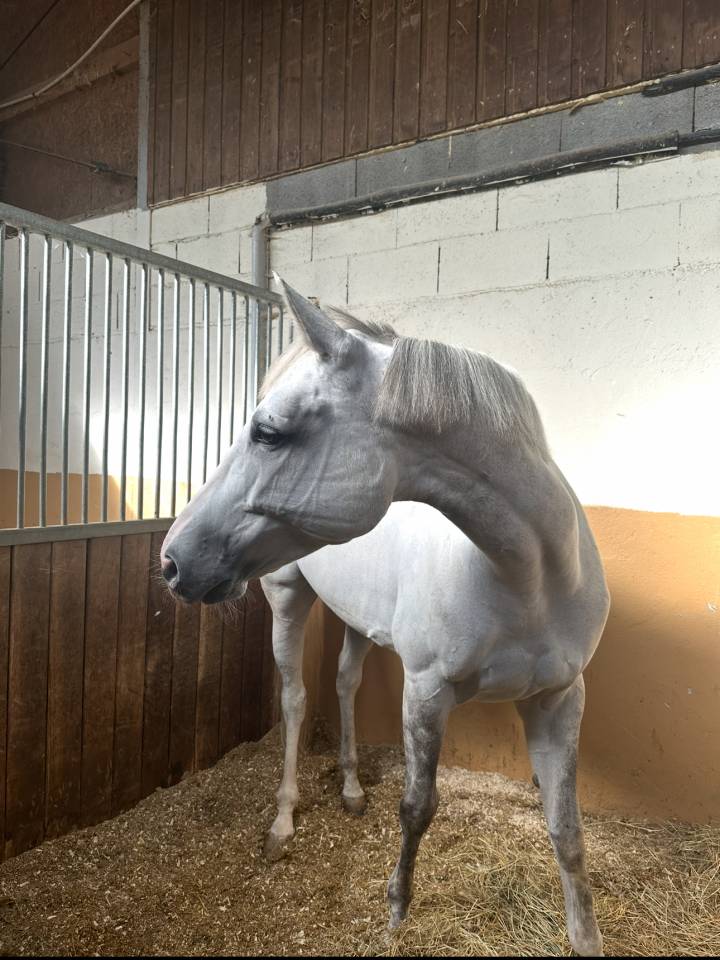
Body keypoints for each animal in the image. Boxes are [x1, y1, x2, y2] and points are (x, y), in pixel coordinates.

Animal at [161, 283, 610, 956]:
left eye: (267, 432)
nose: (171, 558)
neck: (529, 576)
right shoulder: (425, 692)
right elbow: (418, 805)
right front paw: (397, 908)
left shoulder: (559, 698)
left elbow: (566, 826)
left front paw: (584, 936)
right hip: (287, 598)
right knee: (295, 699)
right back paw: (283, 822)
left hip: (356, 621)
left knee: (345, 684)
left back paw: (349, 790)